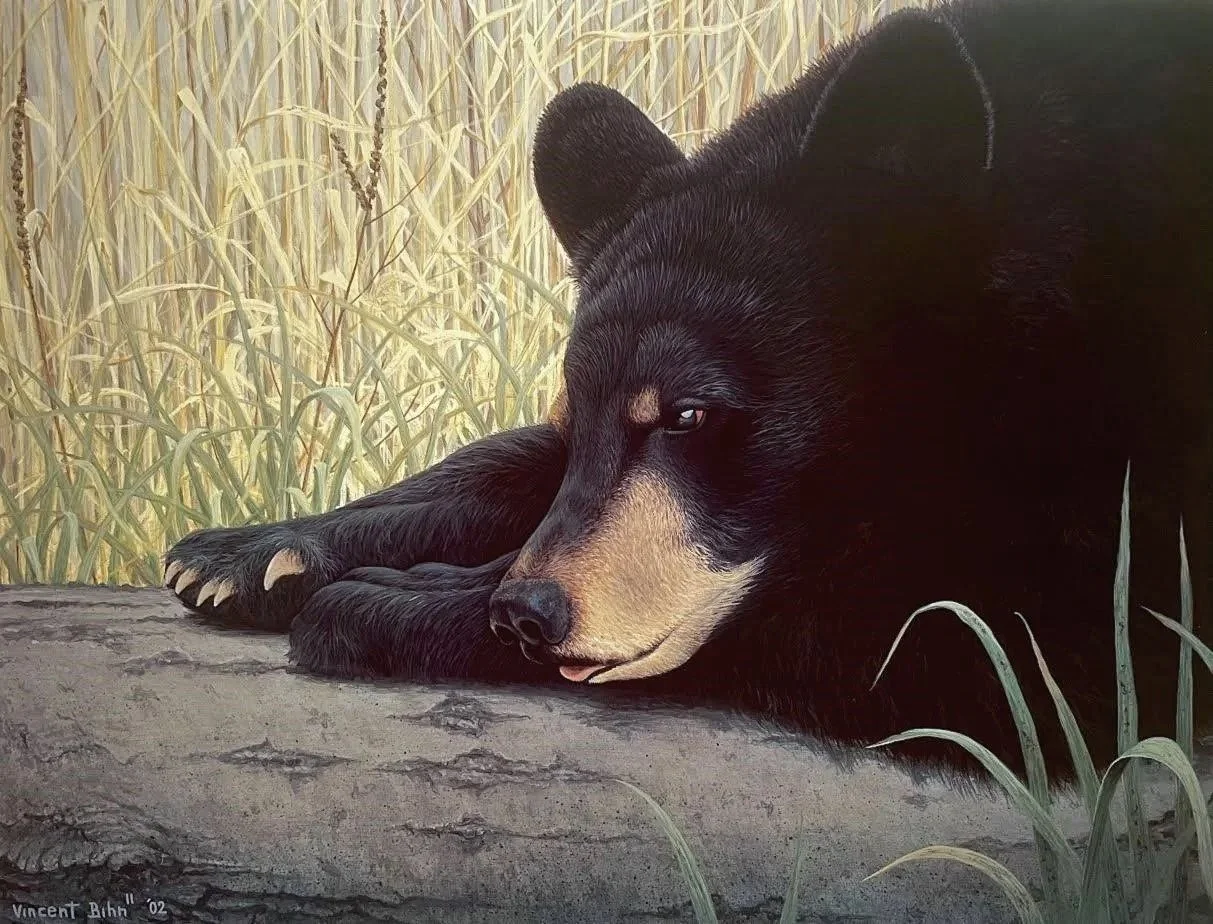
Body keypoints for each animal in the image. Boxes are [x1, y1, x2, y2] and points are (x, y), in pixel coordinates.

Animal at [164, 0, 1213, 784]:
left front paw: (395, 600)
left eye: (692, 414)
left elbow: (985, 636)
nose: (528, 612)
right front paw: (250, 554)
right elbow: (513, 463)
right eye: (574, 410)